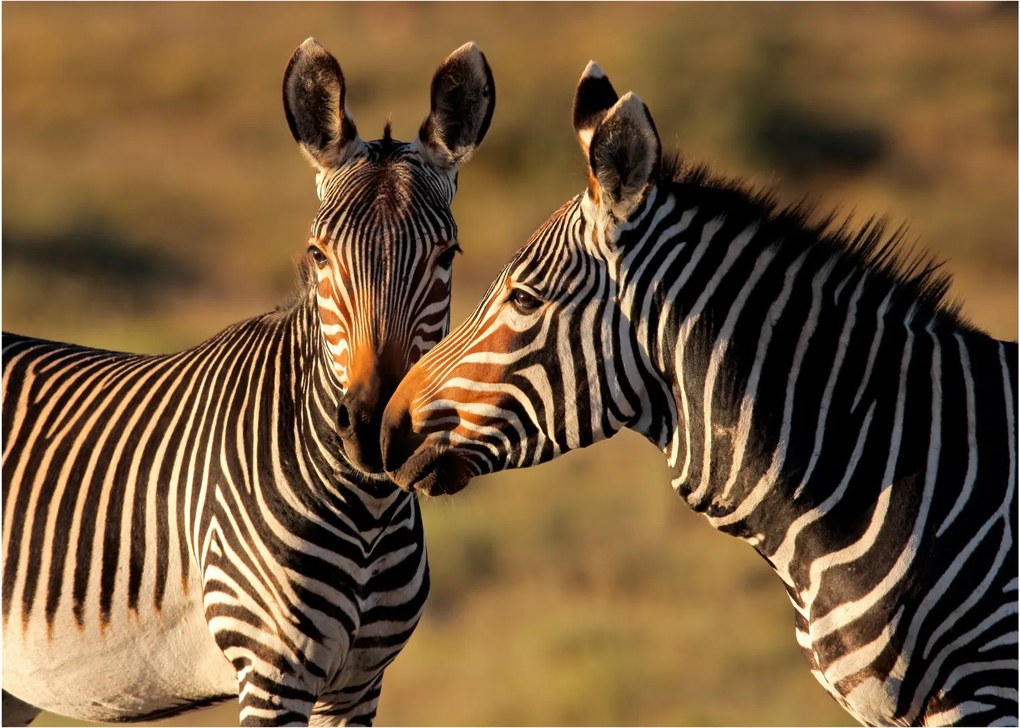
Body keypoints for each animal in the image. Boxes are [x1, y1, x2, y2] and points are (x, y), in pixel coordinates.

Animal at [2, 38, 494, 726]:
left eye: (448, 256)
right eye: (318, 254)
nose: (372, 428)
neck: (367, 512)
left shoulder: (359, 685)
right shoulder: (272, 674)